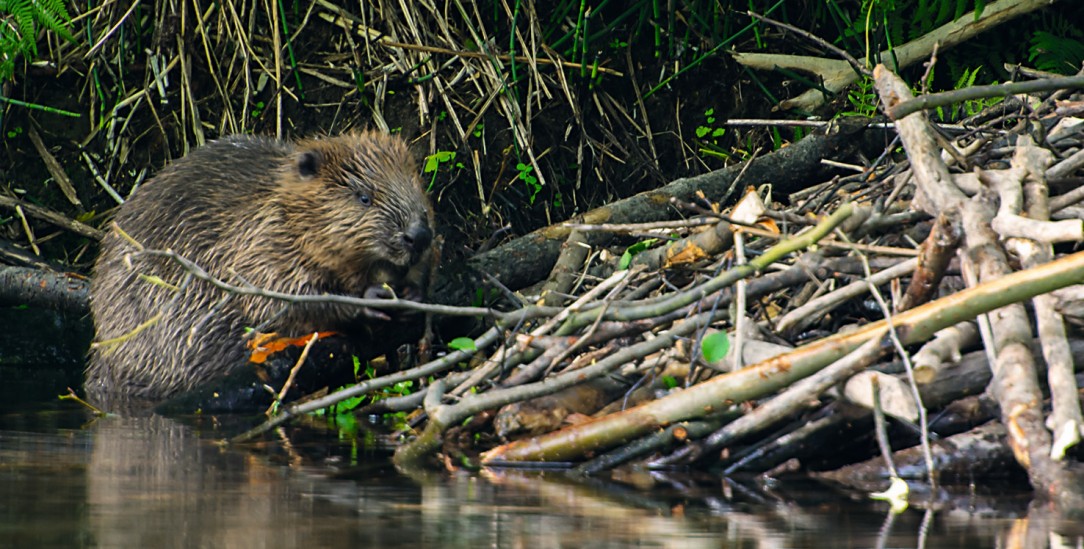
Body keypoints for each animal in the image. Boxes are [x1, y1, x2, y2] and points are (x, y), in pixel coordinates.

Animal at [87, 130, 435, 401]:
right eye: (364, 197)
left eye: (418, 186)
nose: (419, 235)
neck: (279, 203)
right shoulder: (259, 243)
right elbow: (280, 297)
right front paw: (374, 297)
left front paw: (414, 294)